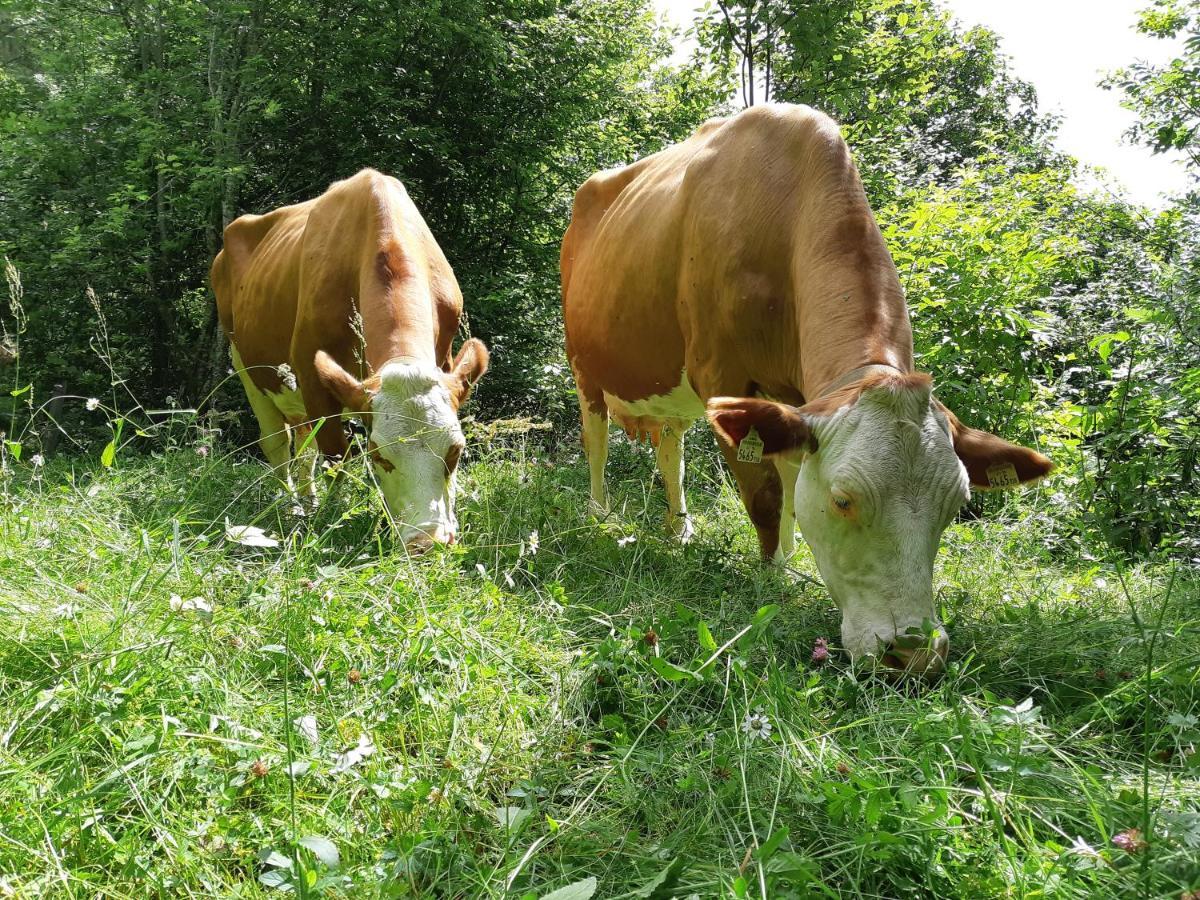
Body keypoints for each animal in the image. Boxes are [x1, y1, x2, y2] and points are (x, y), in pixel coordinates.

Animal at [212, 168, 487, 549]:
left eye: (456, 451)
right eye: (378, 455)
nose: (427, 541)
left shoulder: (445, 361)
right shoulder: (311, 376)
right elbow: (334, 456)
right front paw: (331, 518)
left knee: (303, 445)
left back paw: (308, 501)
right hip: (246, 365)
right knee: (278, 445)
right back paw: (292, 508)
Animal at [561, 102, 1051, 672]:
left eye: (956, 506)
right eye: (843, 500)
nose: (914, 654)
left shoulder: (796, 398)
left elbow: (793, 478)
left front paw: (792, 561)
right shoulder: (722, 376)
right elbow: (767, 494)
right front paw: (772, 574)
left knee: (670, 451)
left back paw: (678, 529)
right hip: (584, 366)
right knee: (595, 441)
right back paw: (600, 516)